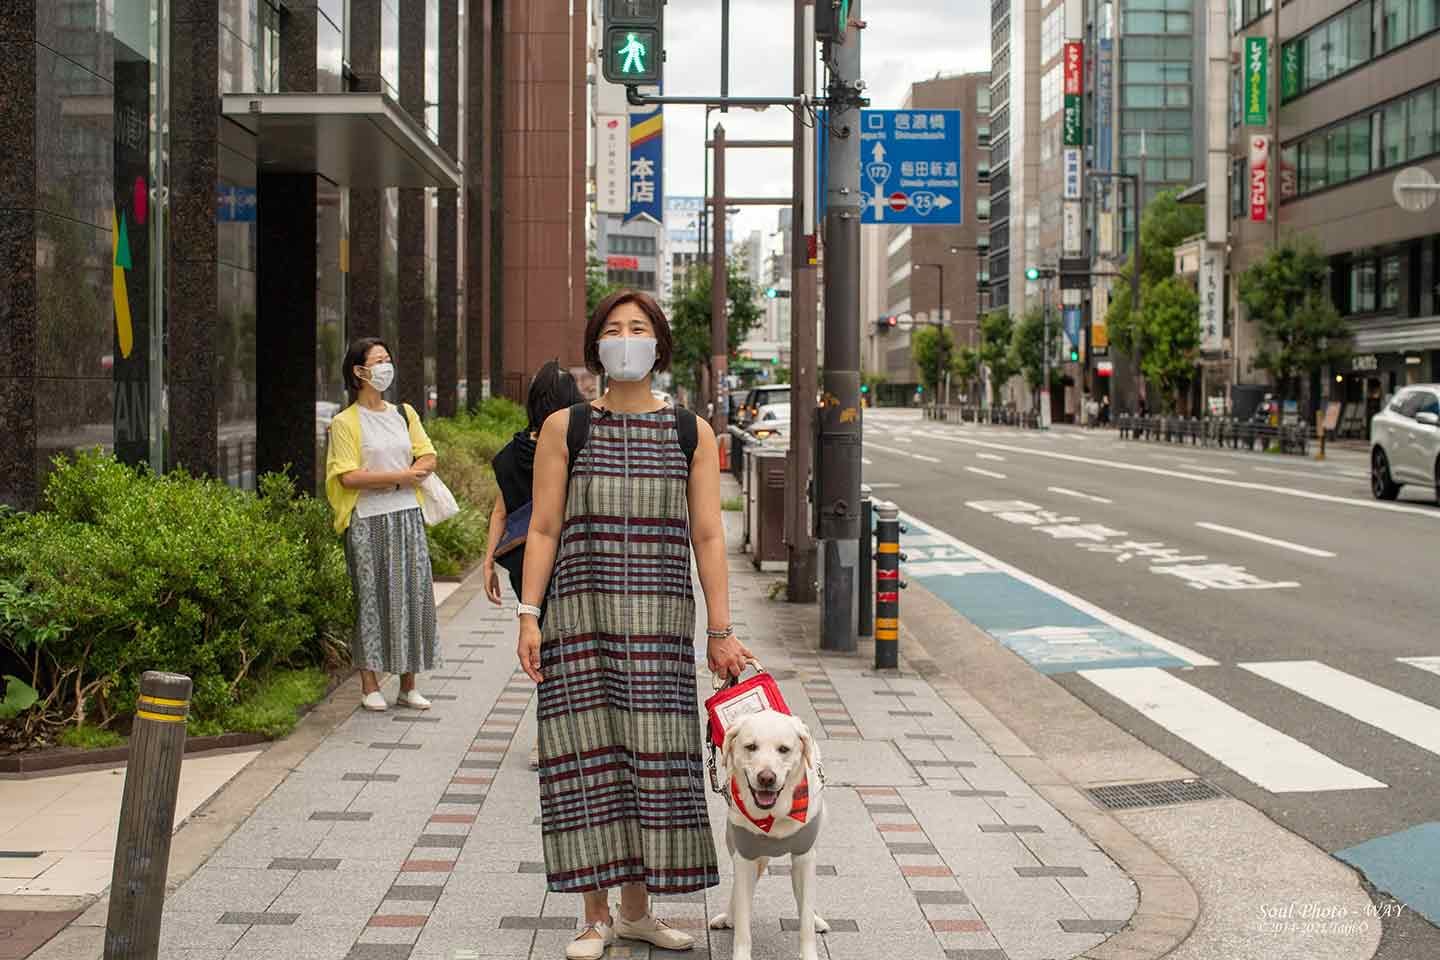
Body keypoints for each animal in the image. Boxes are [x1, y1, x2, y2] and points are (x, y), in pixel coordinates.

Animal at [708, 711, 835, 960]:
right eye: (751, 747)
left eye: (783, 749)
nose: (766, 777)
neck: (772, 818)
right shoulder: (745, 858)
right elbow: (744, 923)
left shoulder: (805, 858)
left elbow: (805, 917)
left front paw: (809, 950)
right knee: (738, 890)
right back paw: (728, 917)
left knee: (803, 900)